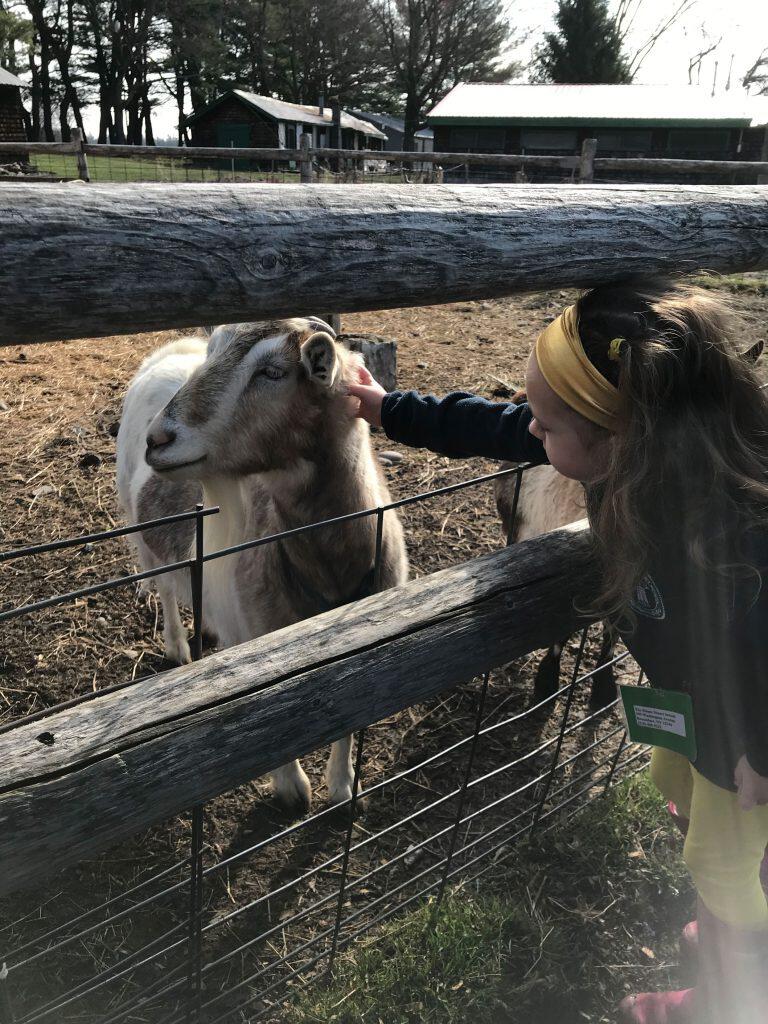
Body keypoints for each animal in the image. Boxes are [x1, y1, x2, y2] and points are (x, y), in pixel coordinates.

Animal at [115, 315, 409, 811]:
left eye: (272, 373)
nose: (159, 439)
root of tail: (173, 348)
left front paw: (342, 786)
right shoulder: (259, 637)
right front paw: (293, 788)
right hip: (138, 520)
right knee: (165, 586)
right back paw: (177, 645)